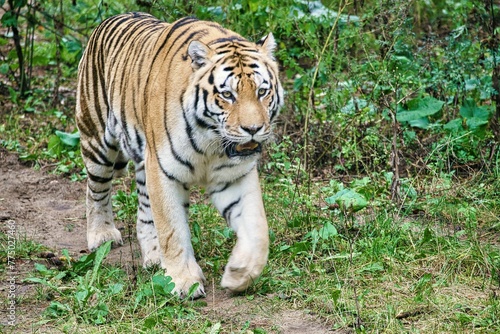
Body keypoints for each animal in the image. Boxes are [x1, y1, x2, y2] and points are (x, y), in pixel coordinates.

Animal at [75, 12, 284, 298]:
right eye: (227, 95)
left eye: (262, 91)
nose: (253, 129)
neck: (212, 141)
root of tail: (111, 18)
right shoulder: (163, 171)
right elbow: (172, 230)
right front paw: (184, 282)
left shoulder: (234, 176)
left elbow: (257, 228)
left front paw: (240, 273)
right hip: (98, 141)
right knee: (96, 190)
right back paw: (102, 235)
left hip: (142, 163)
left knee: (144, 210)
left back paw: (153, 257)